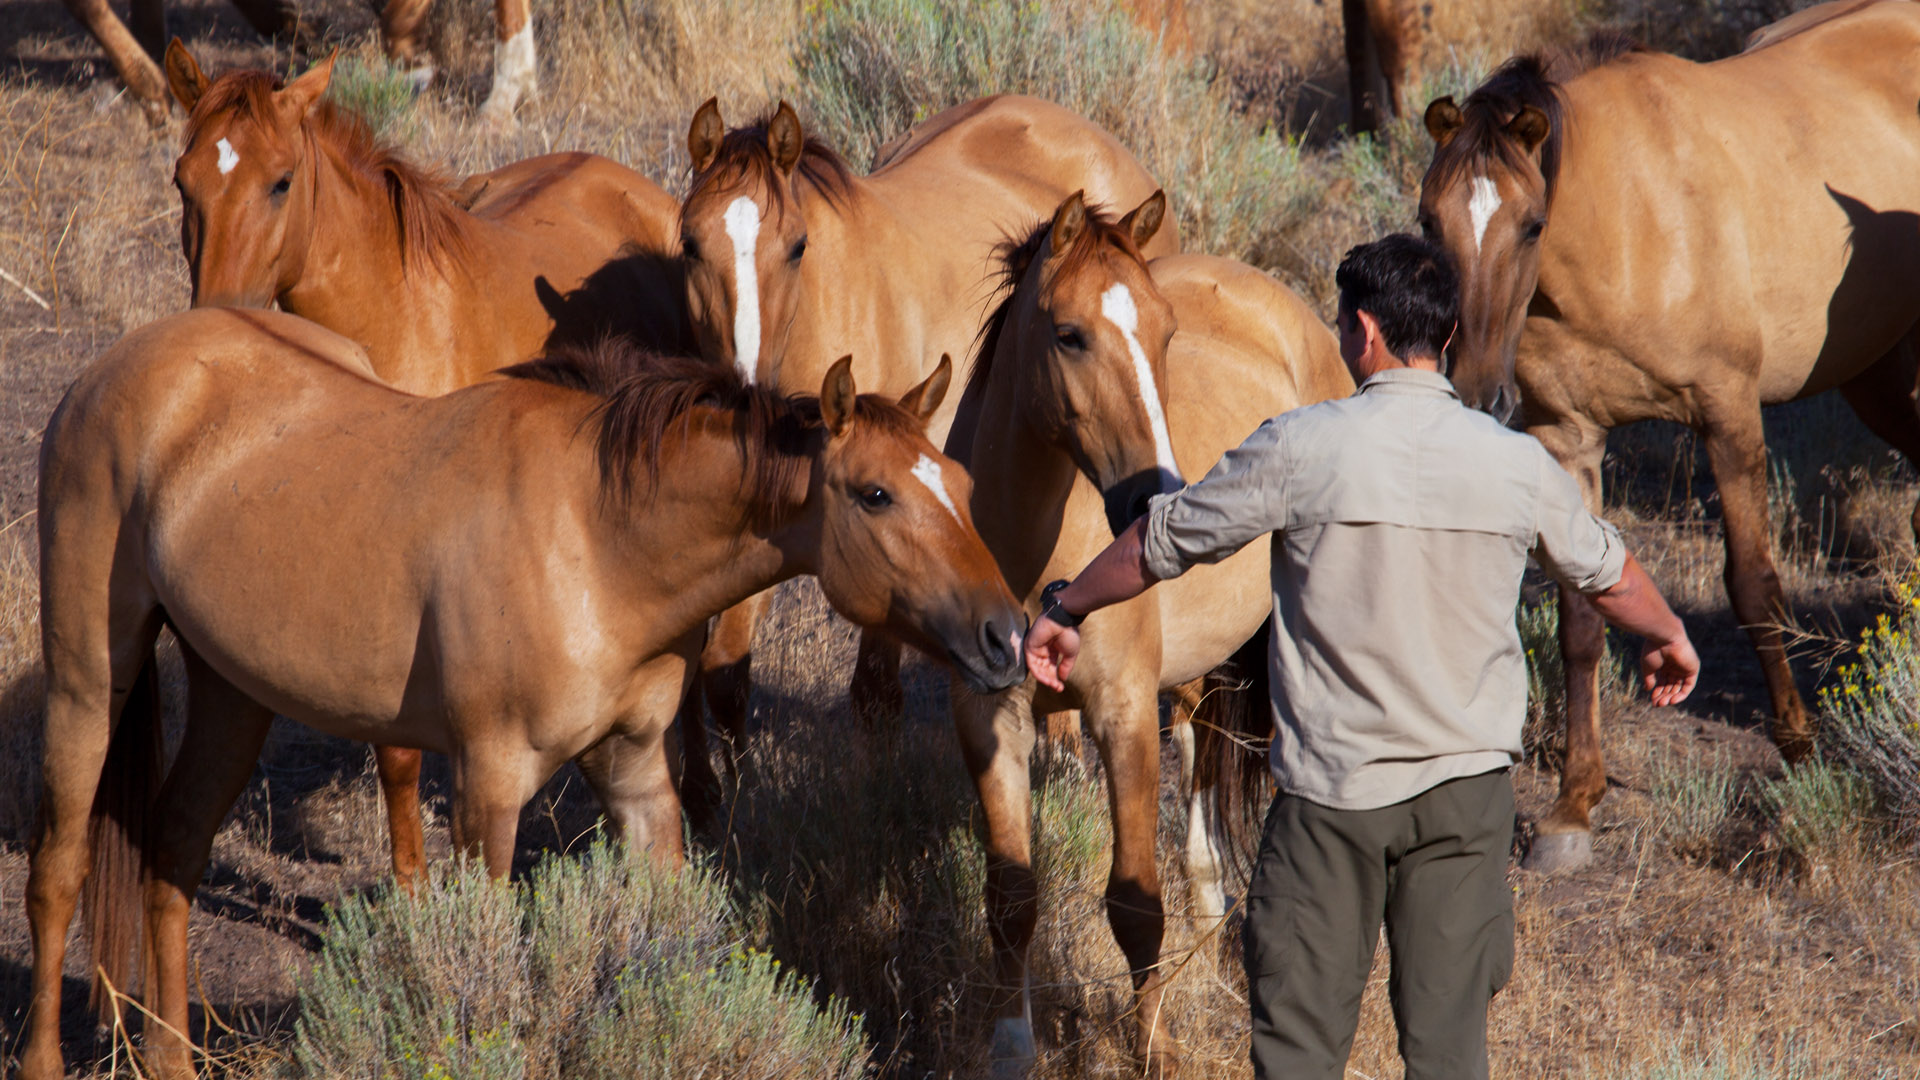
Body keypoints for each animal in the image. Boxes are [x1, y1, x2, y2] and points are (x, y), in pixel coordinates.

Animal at [19, 308, 1024, 1080]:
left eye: (961, 482)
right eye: (876, 494)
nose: (1008, 636)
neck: (596, 540)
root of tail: (114, 369)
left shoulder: (637, 779)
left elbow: (669, 940)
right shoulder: (488, 790)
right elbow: (487, 967)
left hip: (235, 693)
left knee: (173, 847)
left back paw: (170, 1058)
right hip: (88, 682)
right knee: (59, 871)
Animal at [165, 42, 694, 878]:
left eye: (281, 181)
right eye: (183, 181)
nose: (215, 318)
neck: (396, 322)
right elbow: (396, 752)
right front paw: (413, 879)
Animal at [953, 191, 1352, 1076]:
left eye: (1165, 334)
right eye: (1070, 333)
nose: (1154, 495)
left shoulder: (1124, 714)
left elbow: (1133, 900)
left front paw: (1154, 1046)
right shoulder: (990, 721)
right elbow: (1011, 898)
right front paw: (1011, 1045)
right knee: (1201, 759)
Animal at [1416, 0, 1920, 871]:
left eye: (1532, 224)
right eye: (1428, 222)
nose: (1479, 393)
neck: (1626, 226)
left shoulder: (1728, 413)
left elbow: (1754, 586)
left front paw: (1800, 753)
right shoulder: (1566, 436)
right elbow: (1582, 619)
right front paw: (1573, 805)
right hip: (1877, 374)